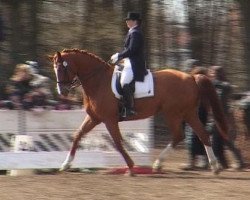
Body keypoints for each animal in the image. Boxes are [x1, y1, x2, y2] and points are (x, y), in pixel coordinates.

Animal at [49, 48, 228, 175]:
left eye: (62, 69)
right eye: (54, 69)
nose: (62, 91)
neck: (98, 80)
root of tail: (192, 77)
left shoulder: (109, 119)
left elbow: (118, 142)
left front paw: (131, 166)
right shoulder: (94, 118)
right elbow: (77, 135)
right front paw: (65, 164)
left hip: (173, 114)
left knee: (180, 135)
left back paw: (158, 164)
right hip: (188, 113)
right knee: (202, 135)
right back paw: (214, 167)